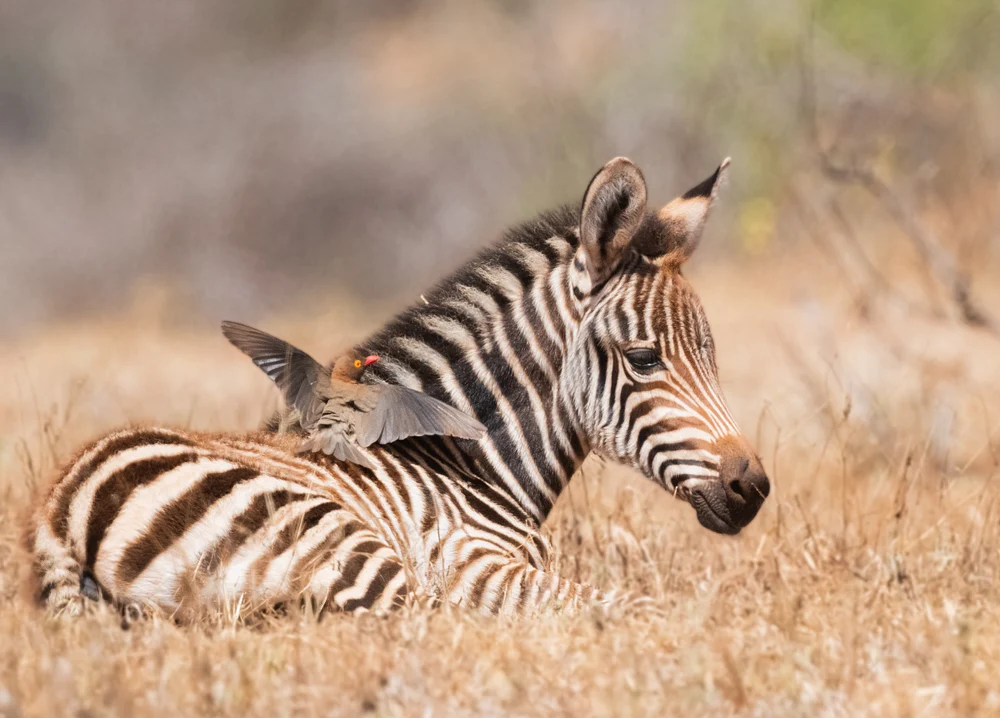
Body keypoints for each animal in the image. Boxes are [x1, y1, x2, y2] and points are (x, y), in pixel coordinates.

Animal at [31, 157, 769, 619]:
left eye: (712, 356)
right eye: (644, 358)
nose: (753, 487)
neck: (465, 460)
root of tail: (61, 512)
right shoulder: (469, 563)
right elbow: (641, 604)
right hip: (332, 536)